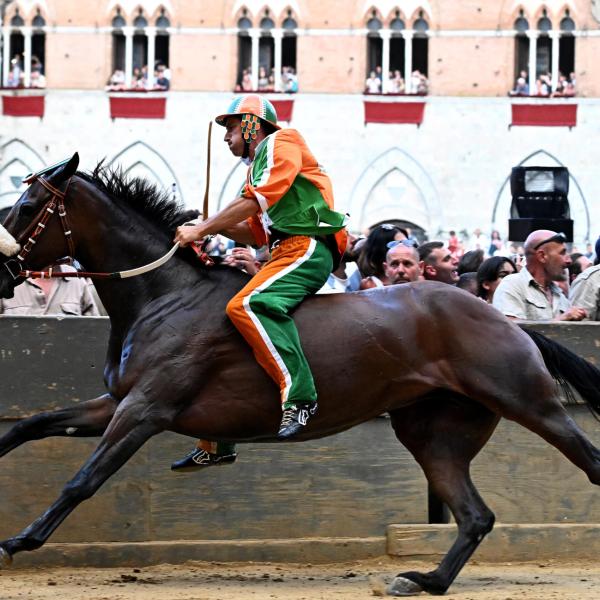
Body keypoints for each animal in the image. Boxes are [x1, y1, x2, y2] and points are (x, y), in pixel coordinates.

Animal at [0, 154, 600, 596]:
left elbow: (84, 479)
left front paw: (19, 541)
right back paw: (425, 579)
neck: (164, 297)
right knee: (475, 515)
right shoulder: (116, 401)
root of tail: (503, 319)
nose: (2, 269)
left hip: (528, 401)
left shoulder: (146, 408)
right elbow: (27, 426)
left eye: (27, 206)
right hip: (433, 432)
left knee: (585, 465)